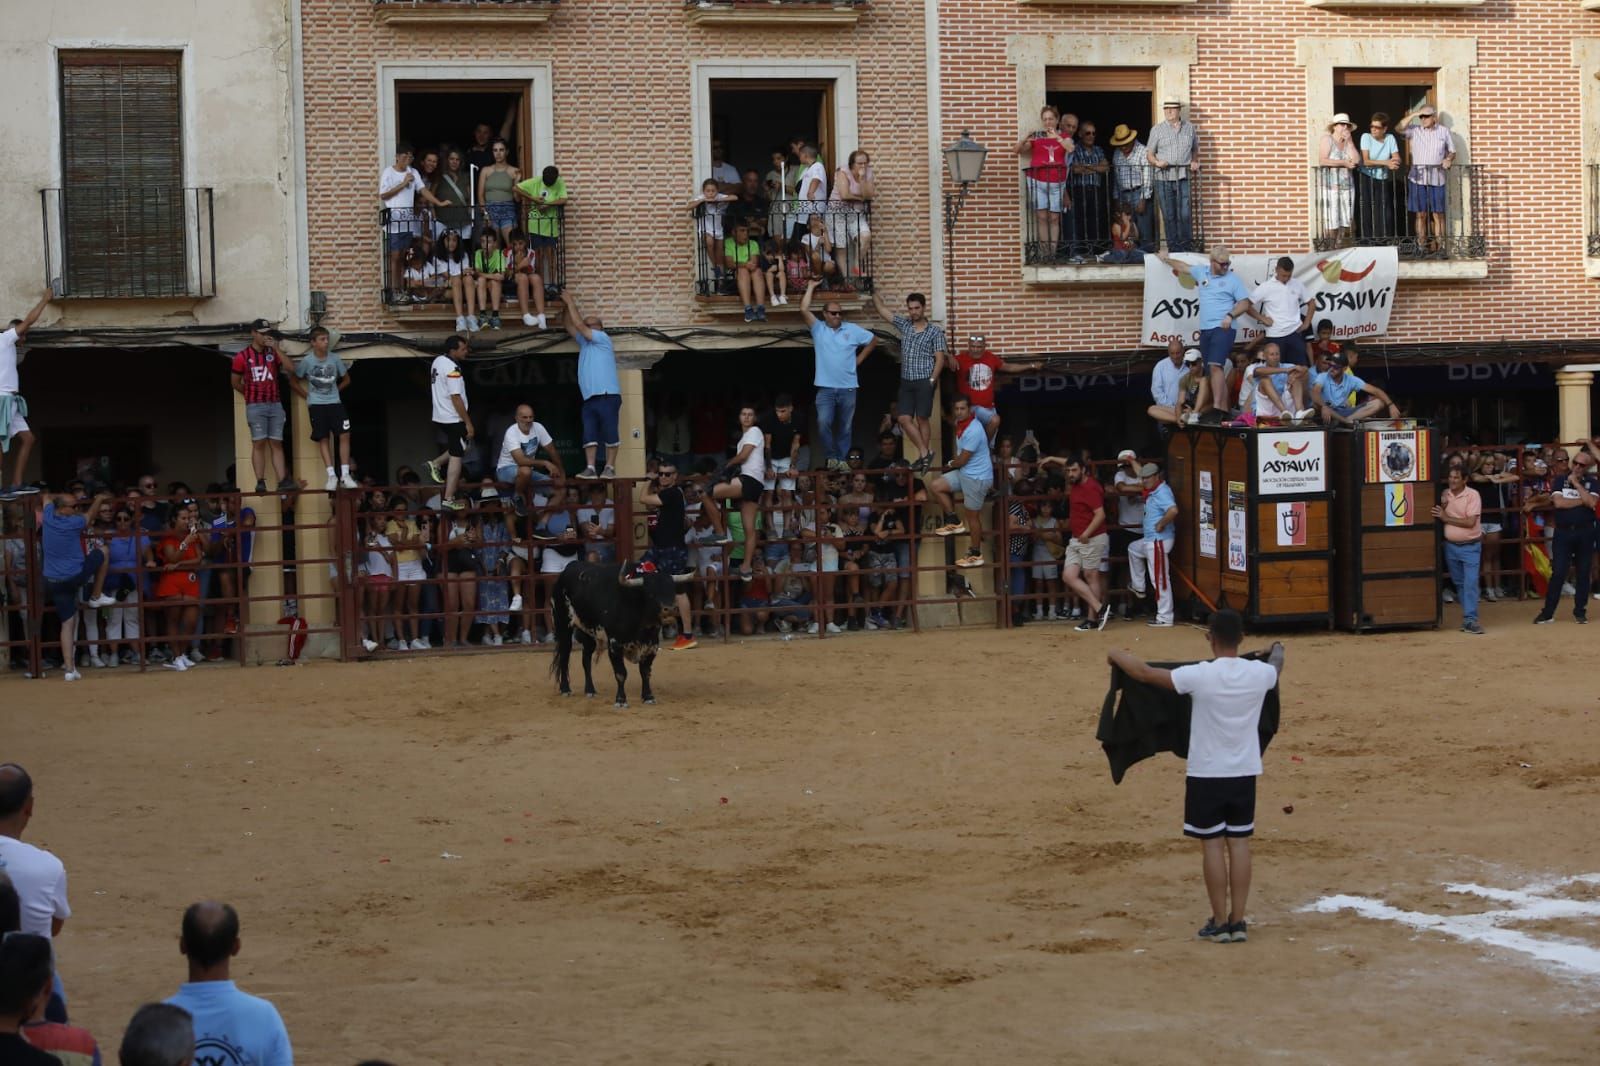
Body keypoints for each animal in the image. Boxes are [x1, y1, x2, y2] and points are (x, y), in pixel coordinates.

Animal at [547, 560, 691, 701]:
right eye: (651, 592)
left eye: (672, 590)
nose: (670, 609)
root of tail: (566, 570)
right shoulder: (615, 644)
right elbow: (621, 673)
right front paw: (621, 700)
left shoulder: (652, 645)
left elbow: (645, 672)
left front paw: (648, 696)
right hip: (563, 626)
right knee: (564, 656)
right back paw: (565, 689)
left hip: (588, 632)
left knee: (586, 660)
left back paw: (590, 690)